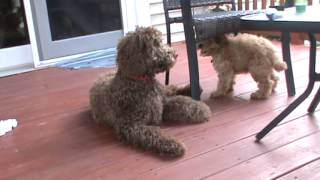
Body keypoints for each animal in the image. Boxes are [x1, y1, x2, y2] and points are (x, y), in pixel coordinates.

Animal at [89, 26, 212, 158]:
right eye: (156, 43)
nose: (176, 54)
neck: (140, 81)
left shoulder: (162, 105)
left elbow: (182, 103)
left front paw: (202, 109)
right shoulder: (131, 126)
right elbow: (154, 134)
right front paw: (173, 144)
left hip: (162, 90)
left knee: (170, 88)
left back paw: (189, 89)